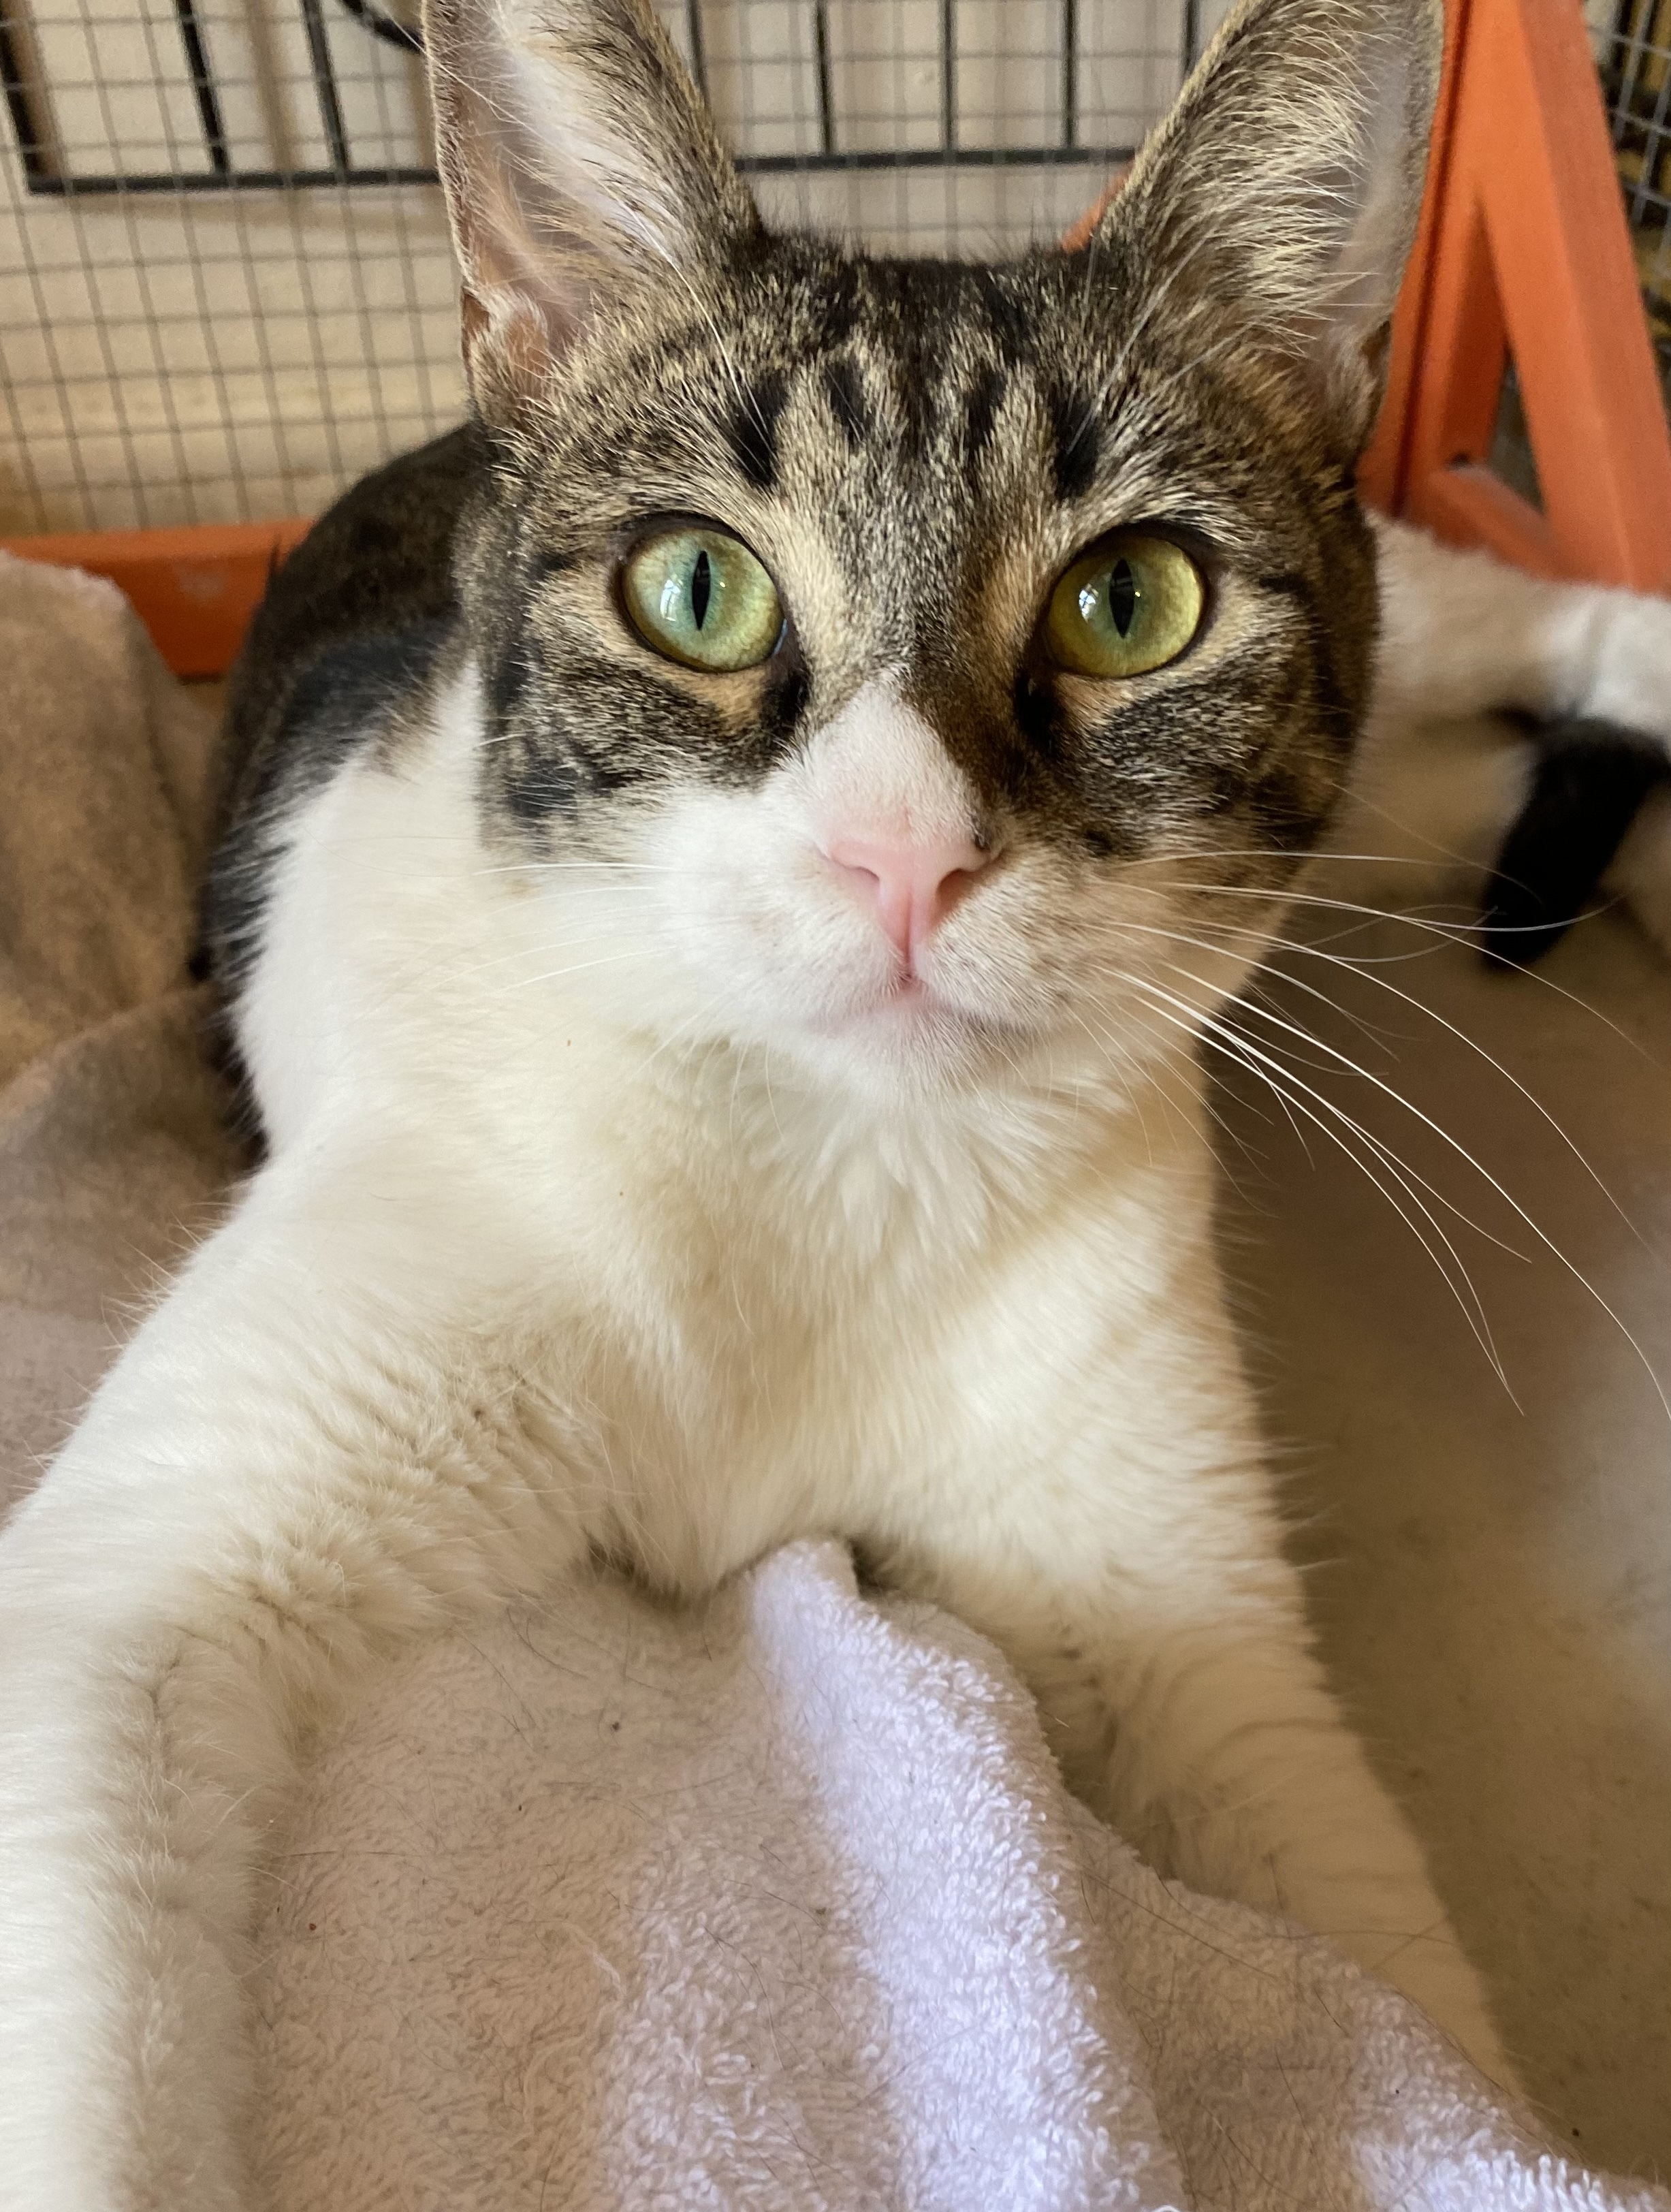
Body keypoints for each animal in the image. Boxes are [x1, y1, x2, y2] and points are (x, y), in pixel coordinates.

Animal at [3, 0, 1671, 2185]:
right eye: (695, 591)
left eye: (1132, 601)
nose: (904, 856)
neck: (820, 1166)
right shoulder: (148, 1579)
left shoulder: (1190, 1624)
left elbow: (1374, 1956)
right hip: (1398, 806)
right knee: (1483, 776)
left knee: (1517, 616)